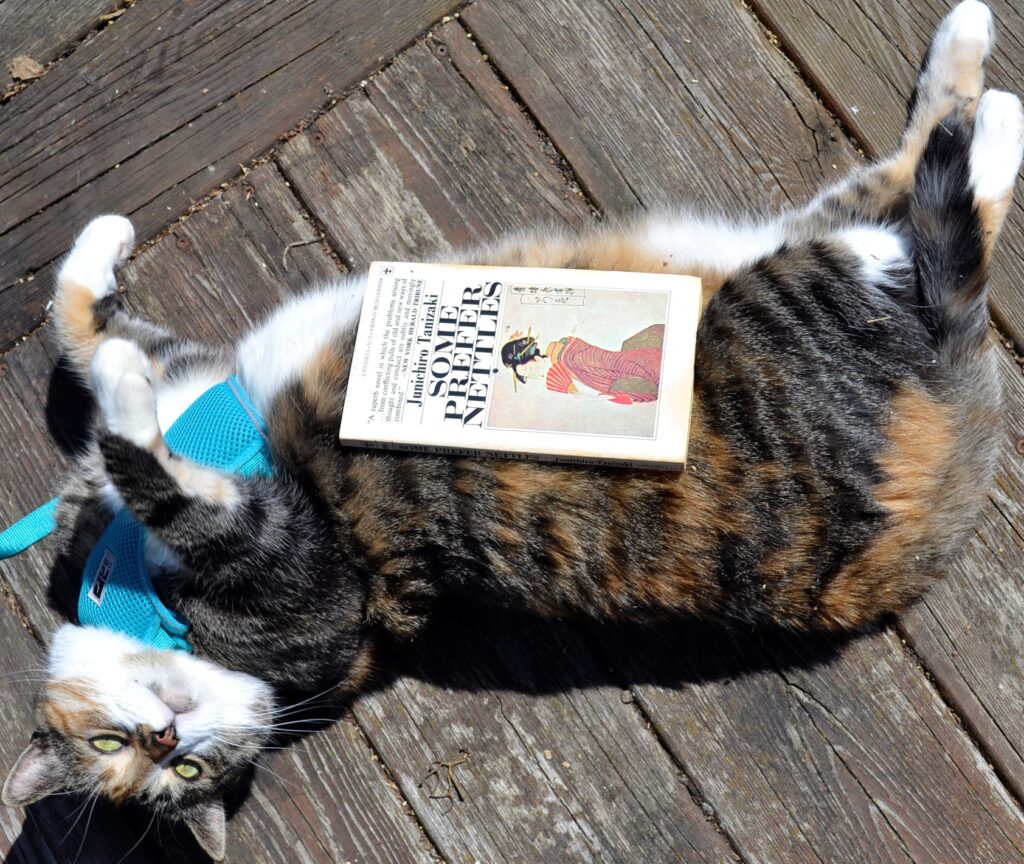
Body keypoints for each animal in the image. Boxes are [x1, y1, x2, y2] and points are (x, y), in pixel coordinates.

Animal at [2, 3, 1024, 859]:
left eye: (167, 760)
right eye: (138, 760)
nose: (169, 731)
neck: (132, 586)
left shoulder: (224, 421)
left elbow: (85, 328)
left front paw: (102, 250)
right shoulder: (301, 563)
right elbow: (152, 450)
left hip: (792, 270)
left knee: (921, 191)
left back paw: (979, 68)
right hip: (808, 275)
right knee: (932, 213)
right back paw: (987, 101)